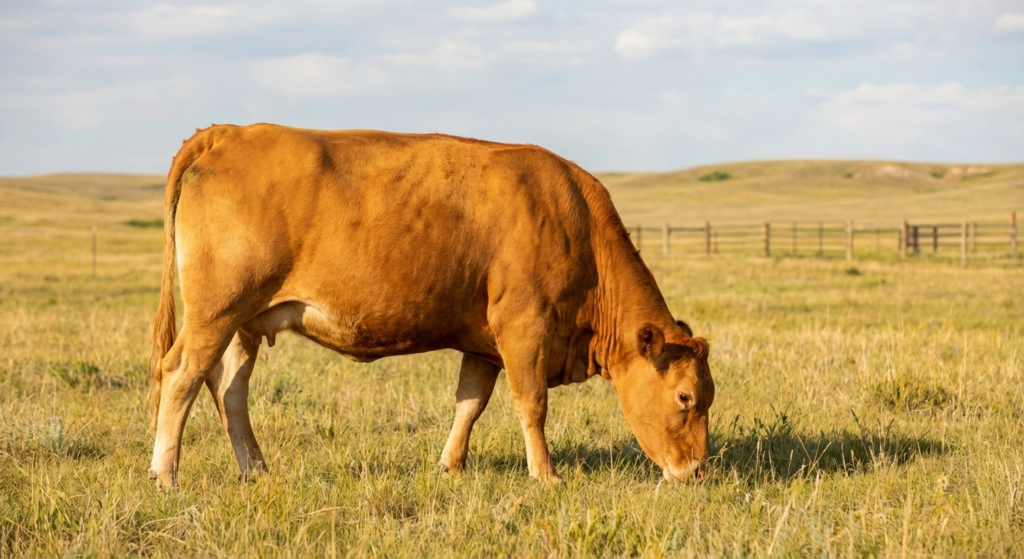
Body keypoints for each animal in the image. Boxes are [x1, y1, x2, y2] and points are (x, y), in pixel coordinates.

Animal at [147, 124, 714, 488]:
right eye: (685, 397)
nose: (697, 471)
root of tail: (229, 131)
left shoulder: (484, 343)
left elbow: (470, 403)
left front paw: (451, 466)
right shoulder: (523, 326)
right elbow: (531, 404)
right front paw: (546, 475)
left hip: (244, 322)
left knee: (229, 390)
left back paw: (257, 471)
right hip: (217, 310)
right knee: (181, 374)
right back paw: (165, 475)